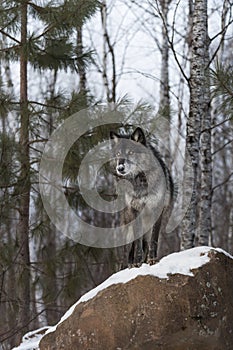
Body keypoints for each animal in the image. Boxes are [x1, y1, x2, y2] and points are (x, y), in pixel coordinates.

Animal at [110, 127, 174, 266]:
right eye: (118, 154)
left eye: (131, 152)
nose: (120, 168)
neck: (139, 181)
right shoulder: (135, 210)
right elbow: (138, 242)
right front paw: (137, 262)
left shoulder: (157, 209)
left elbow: (154, 239)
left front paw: (152, 259)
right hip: (127, 228)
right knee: (127, 250)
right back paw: (129, 264)